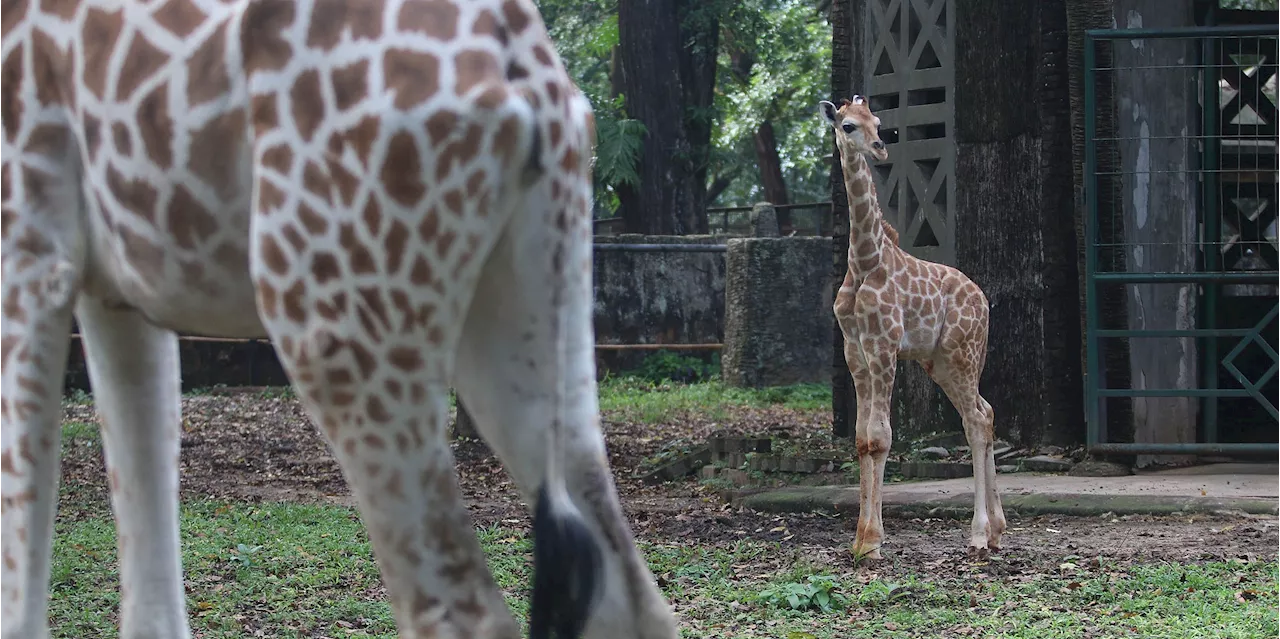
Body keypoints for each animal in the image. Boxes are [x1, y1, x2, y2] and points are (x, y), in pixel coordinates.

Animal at [0, 1, 680, 639]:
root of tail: (515, 58)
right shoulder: (115, 292)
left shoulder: (29, 251)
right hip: (528, 307)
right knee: (633, 597)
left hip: (330, 315)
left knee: (462, 610)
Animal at [819, 94, 1008, 560]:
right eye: (848, 125)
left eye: (878, 121)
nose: (880, 148)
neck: (864, 262)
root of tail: (984, 300)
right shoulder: (855, 352)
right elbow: (862, 439)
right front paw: (859, 540)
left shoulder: (884, 347)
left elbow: (881, 437)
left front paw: (872, 542)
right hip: (939, 362)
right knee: (985, 413)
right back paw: (997, 530)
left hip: (963, 354)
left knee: (976, 420)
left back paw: (979, 534)